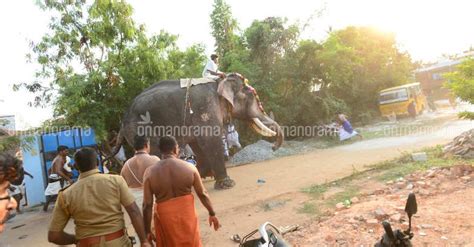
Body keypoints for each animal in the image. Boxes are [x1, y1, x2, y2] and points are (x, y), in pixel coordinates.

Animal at [113, 73, 284, 189]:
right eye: (251, 96)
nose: (273, 148)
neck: (219, 81)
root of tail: (123, 120)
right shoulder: (205, 107)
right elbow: (210, 140)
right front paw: (227, 184)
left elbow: (198, 144)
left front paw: (201, 175)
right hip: (140, 127)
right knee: (153, 152)